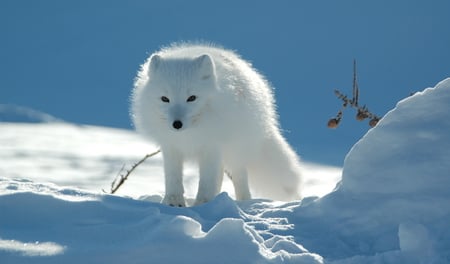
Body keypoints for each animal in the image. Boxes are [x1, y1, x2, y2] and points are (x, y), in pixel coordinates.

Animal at [132, 42, 304, 206]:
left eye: (192, 98)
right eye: (165, 99)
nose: (177, 124)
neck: (190, 133)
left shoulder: (211, 146)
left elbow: (207, 181)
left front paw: (203, 204)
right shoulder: (171, 146)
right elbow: (172, 177)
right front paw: (173, 202)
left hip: (236, 150)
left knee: (239, 177)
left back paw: (243, 202)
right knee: (220, 175)